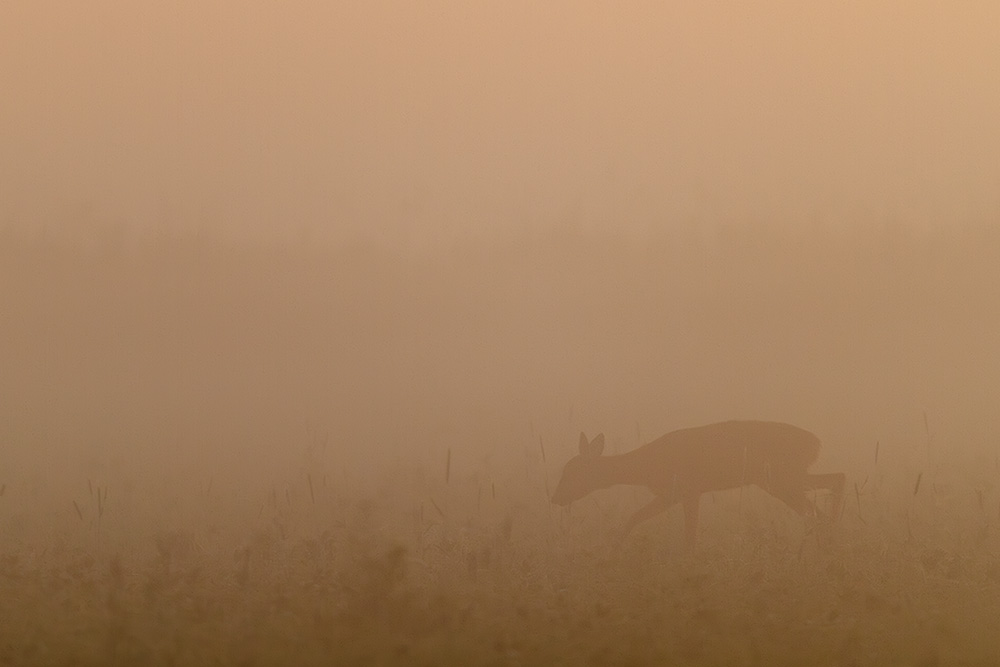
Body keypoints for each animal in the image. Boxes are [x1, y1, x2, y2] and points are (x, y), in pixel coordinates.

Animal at [550, 420, 845, 546]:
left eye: (572, 472)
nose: (556, 498)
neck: (646, 466)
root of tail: (815, 444)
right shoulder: (671, 494)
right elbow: (637, 516)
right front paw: (617, 543)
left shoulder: (687, 489)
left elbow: (689, 533)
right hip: (782, 477)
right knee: (833, 484)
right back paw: (830, 535)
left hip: (780, 477)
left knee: (820, 503)